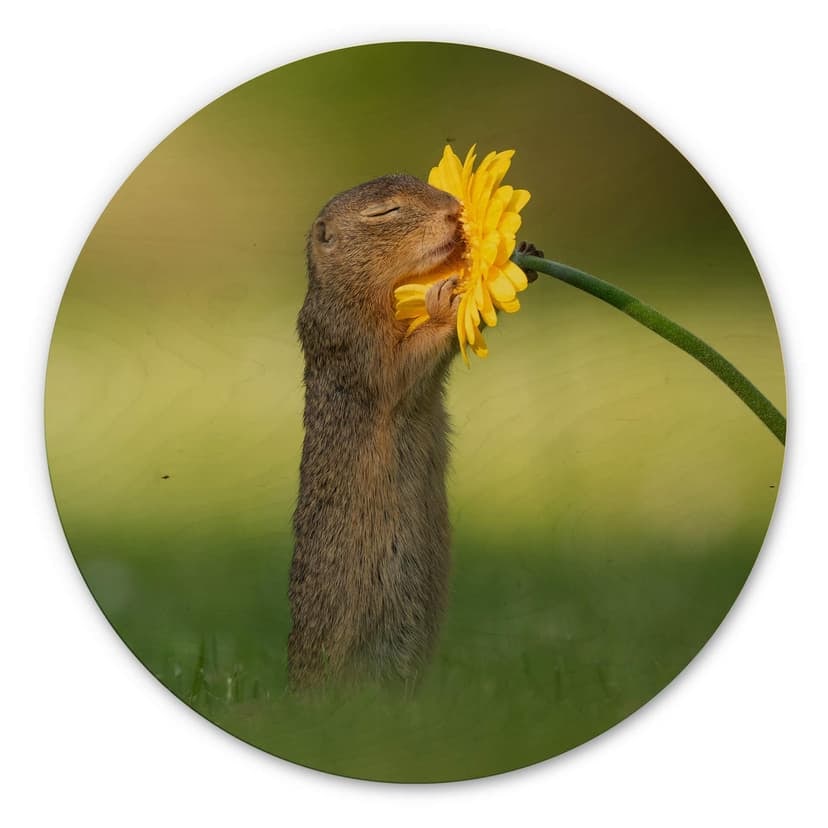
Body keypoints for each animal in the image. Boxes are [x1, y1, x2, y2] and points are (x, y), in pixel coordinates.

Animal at [287, 171, 540, 689]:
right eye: (385, 212)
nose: (454, 212)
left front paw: (522, 252)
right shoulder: (354, 342)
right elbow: (399, 369)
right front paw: (444, 302)